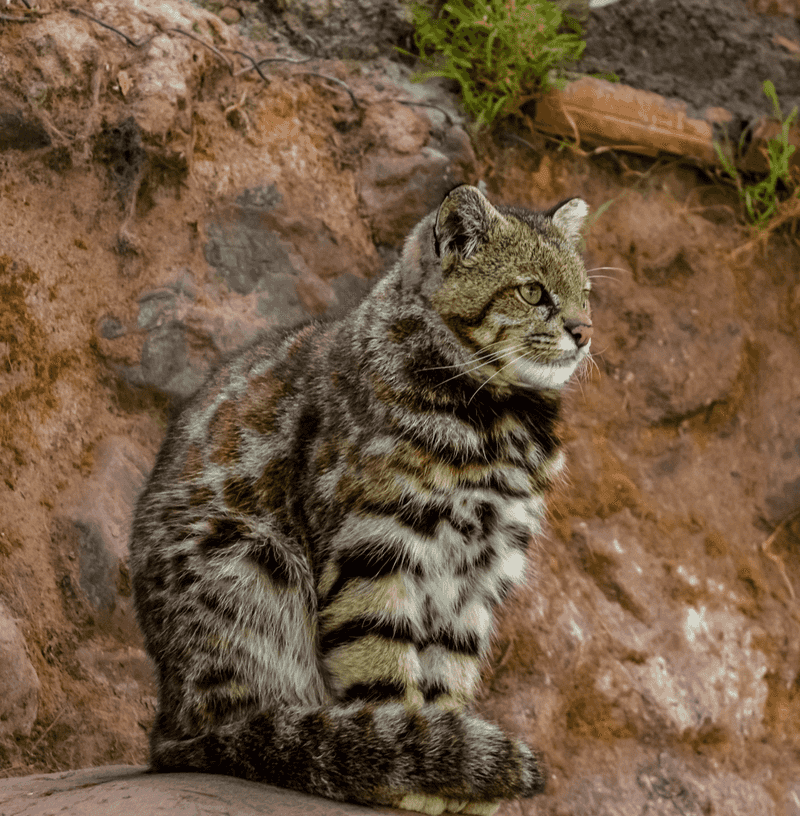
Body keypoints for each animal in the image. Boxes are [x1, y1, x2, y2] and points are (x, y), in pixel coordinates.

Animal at [131, 186, 592, 816]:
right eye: (532, 291)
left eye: (586, 293)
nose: (584, 331)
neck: (496, 426)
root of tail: (166, 720)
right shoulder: (375, 550)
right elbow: (384, 674)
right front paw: (415, 767)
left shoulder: (477, 573)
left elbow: (448, 675)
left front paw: (448, 760)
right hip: (251, 565)